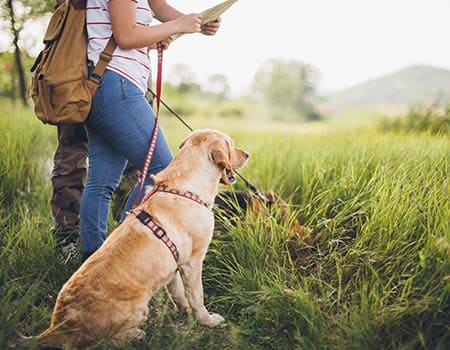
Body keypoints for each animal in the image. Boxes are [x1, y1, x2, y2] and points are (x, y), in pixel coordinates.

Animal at [33, 130, 248, 348]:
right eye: (231, 145)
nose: (247, 154)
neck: (184, 189)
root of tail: (59, 326)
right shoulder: (193, 263)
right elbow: (197, 297)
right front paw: (208, 321)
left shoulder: (174, 269)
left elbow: (179, 294)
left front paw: (186, 312)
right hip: (137, 309)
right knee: (106, 341)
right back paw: (136, 334)